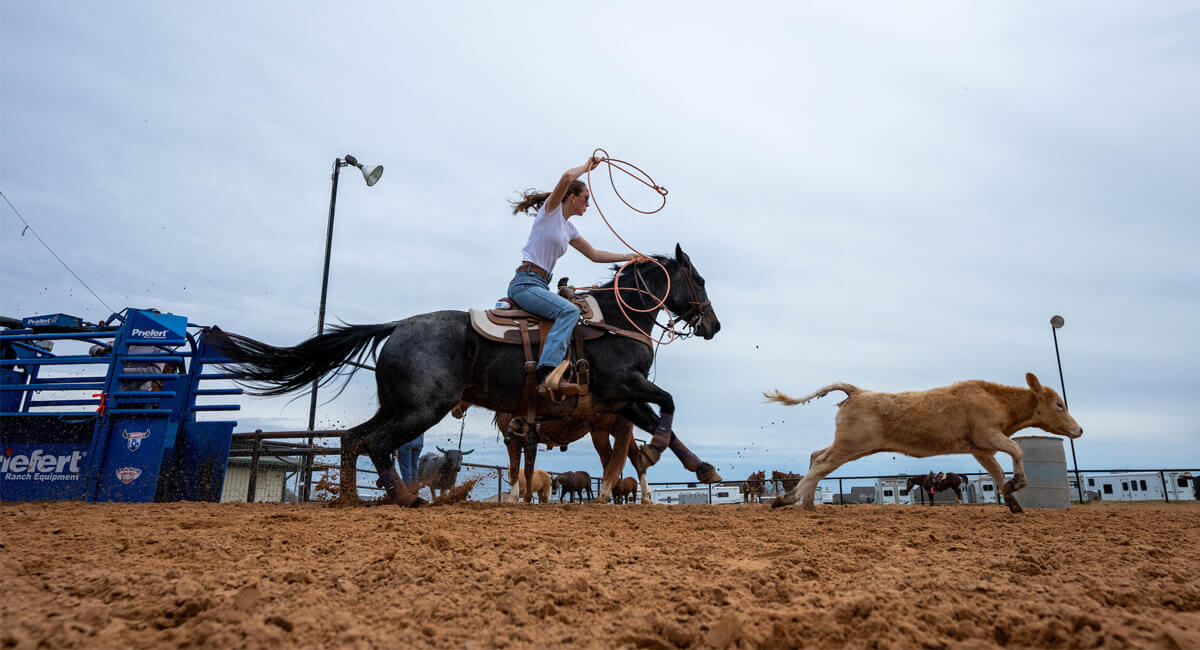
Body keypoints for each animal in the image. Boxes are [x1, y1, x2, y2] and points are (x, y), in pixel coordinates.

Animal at [204, 244, 720, 508]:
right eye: (699, 280)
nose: (713, 325)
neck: (615, 317)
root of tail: (397, 326)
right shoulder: (622, 387)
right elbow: (668, 405)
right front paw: (657, 450)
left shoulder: (621, 398)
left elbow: (664, 423)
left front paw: (700, 467)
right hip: (423, 408)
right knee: (376, 443)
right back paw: (406, 498)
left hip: (401, 405)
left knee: (354, 439)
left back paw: (352, 499)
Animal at [763, 374, 1084, 518]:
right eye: (1059, 404)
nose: (1078, 429)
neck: (996, 399)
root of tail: (858, 391)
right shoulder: (988, 436)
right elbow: (1017, 451)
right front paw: (1017, 484)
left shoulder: (980, 449)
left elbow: (996, 473)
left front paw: (1013, 501)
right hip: (850, 445)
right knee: (820, 464)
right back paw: (786, 499)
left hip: (853, 446)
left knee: (817, 457)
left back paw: (806, 503)